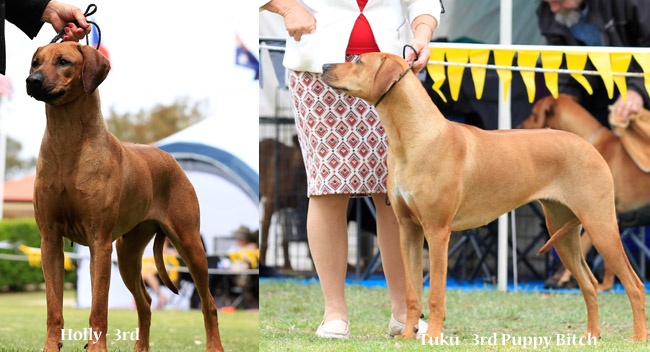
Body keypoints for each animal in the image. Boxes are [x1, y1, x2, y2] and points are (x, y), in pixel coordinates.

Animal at [26, 42, 223, 352]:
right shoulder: (50, 240)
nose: (32, 81)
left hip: (190, 243)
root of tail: (170, 159)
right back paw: (141, 347)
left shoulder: (100, 242)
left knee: (209, 303)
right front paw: (50, 346)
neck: (68, 140)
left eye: (63, 61)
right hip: (128, 253)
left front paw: (96, 348)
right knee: (146, 302)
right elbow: (53, 308)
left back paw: (214, 346)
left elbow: (99, 308)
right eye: (36, 62)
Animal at [520, 95, 650, 290]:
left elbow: (584, 245)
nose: (519, 124)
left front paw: (562, 279)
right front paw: (606, 285)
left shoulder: (598, 217)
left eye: (534, 114)